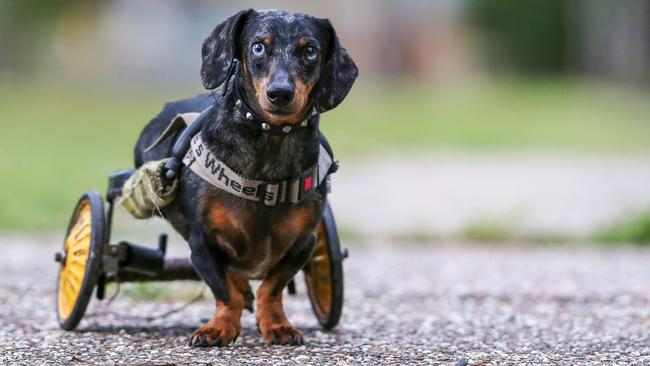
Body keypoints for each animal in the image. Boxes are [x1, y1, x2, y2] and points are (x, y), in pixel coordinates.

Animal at [130, 8, 356, 346]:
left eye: (310, 51)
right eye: (258, 47)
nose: (280, 93)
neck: (270, 142)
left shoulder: (304, 243)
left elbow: (272, 287)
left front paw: (277, 325)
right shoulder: (201, 243)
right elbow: (225, 290)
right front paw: (218, 327)